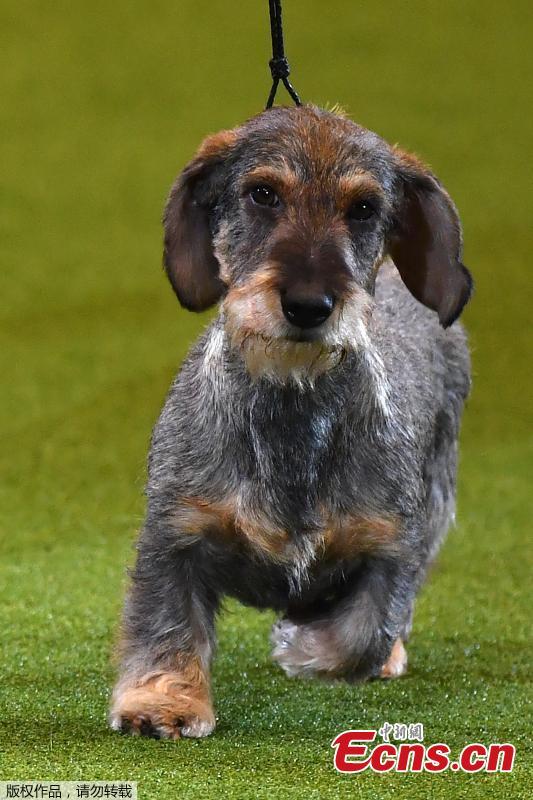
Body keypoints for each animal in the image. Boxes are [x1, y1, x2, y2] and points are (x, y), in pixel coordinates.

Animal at [109, 105, 472, 739]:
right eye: (263, 194)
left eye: (364, 208)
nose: (308, 305)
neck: (293, 412)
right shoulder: (174, 531)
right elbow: (165, 621)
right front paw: (163, 700)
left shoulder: (394, 543)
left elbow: (362, 631)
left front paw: (307, 645)